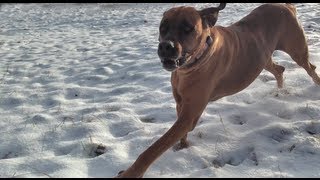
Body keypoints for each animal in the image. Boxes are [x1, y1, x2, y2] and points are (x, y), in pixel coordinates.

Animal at [115, 3, 320, 179]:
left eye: (188, 28)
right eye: (163, 27)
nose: (166, 46)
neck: (191, 65)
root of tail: (286, 6)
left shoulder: (189, 114)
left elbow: (154, 148)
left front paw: (131, 173)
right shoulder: (181, 104)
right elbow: (179, 133)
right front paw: (183, 146)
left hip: (296, 49)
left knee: (310, 67)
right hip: (261, 59)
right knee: (279, 70)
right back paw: (279, 91)